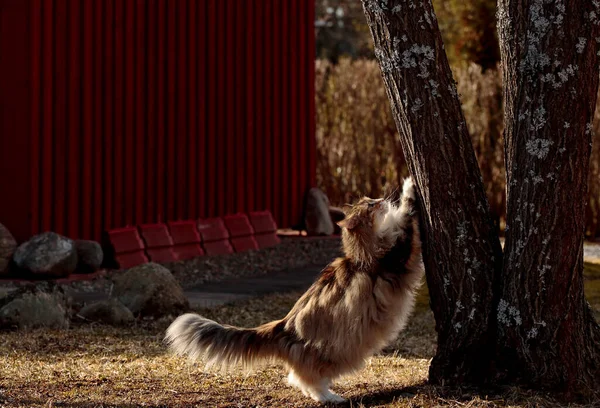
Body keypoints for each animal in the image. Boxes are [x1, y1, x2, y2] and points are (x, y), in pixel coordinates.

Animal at [164, 177, 424, 404]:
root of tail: (282, 326)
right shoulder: (399, 253)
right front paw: (410, 185)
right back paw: (331, 398)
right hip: (325, 356)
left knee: (299, 380)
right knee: (306, 381)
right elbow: (407, 215)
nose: (380, 198)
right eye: (371, 205)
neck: (359, 257)